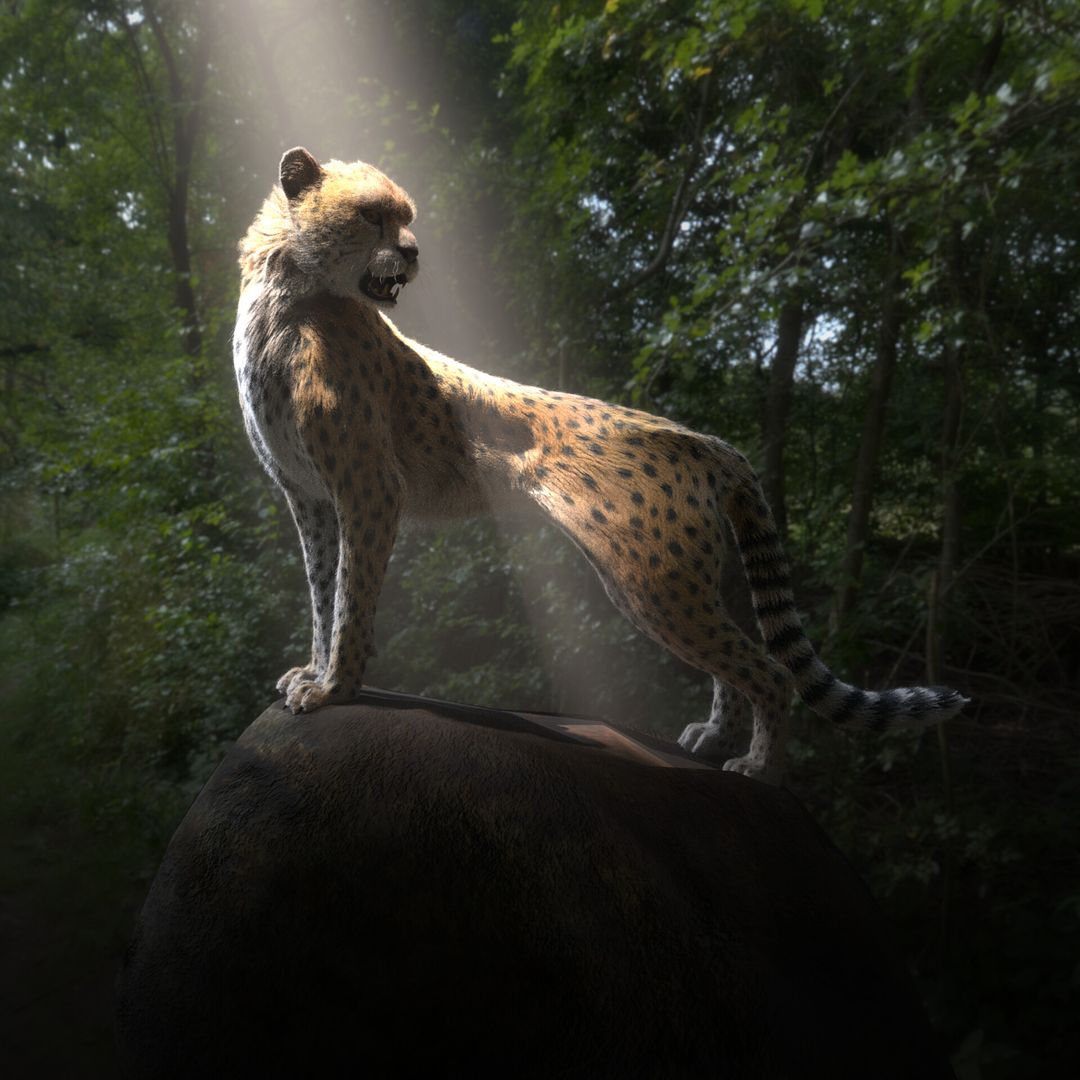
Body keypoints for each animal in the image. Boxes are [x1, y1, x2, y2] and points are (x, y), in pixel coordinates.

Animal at [233, 147, 968, 784]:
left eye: (405, 216)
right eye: (370, 215)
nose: (413, 253)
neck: (287, 288)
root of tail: (703, 438)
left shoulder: (368, 488)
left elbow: (350, 595)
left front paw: (335, 687)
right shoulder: (311, 497)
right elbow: (323, 590)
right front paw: (316, 671)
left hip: (652, 581)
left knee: (771, 670)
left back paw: (759, 768)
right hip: (671, 580)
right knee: (738, 660)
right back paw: (714, 739)